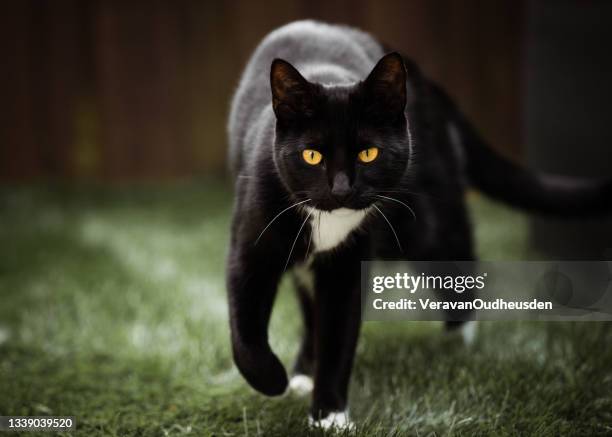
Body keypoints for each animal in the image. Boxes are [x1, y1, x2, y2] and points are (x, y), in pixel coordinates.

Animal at [226, 19, 612, 426]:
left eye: (369, 153)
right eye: (312, 155)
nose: (342, 188)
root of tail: (428, 84)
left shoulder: (349, 263)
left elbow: (338, 333)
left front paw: (330, 416)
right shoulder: (249, 249)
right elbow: (245, 332)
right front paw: (275, 379)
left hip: (424, 219)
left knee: (457, 255)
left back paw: (457, 343)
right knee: (309, 304)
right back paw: (302, 372)